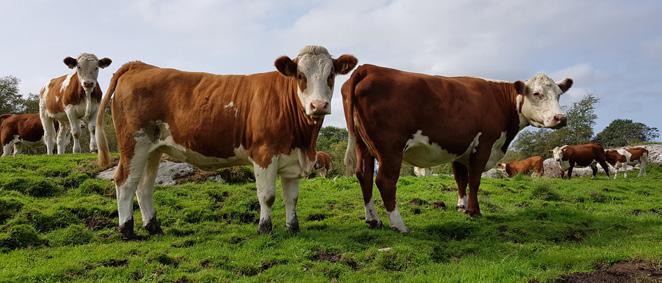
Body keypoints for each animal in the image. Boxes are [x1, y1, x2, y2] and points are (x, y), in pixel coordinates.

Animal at [96, 45, 358, 240]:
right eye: (301, 76)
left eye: (331, 76)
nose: (319, 105)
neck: (304, 141)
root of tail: (140, 65)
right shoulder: (264, 155)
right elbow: (267, 195)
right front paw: (265, 228)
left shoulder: (292, 159)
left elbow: (291, 197)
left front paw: (293, 228)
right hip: (133, 143)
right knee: (125, 182)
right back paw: (127, 230)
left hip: (153, 149)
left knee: (144, 187)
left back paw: (153, 227)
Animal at [344, 64, 572, 233]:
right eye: (537, 93)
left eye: (559, 94)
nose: (560, 118)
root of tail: (368, 68)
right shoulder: (484, 144)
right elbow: (475, 180)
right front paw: (474, 211)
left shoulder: (461, 149)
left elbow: (461, 179)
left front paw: (462, 207)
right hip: (390, 148)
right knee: (385, 181)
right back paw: (399, 225)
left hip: (363, 146)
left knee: (364, 176)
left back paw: (373, 221)